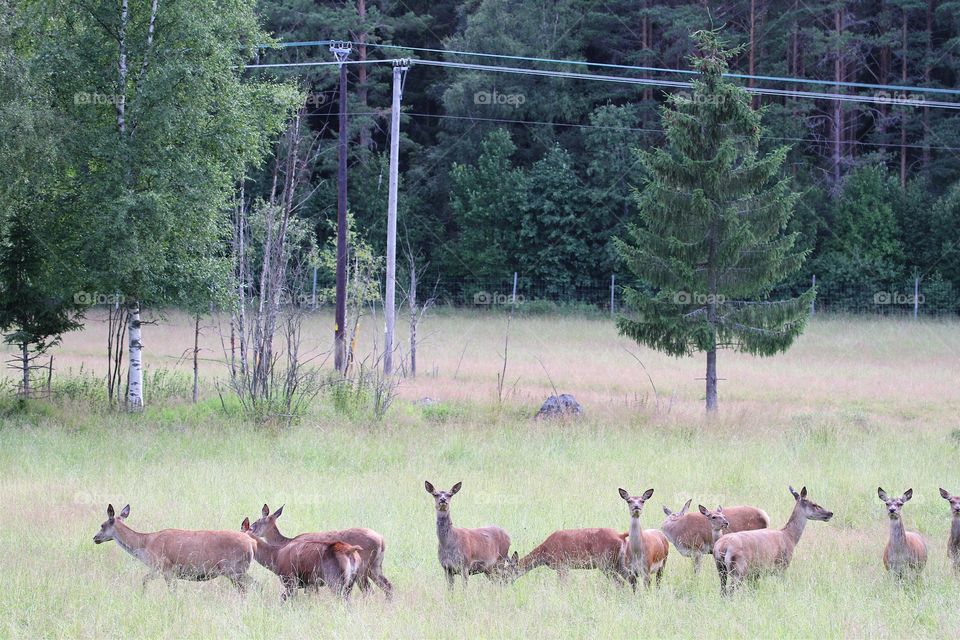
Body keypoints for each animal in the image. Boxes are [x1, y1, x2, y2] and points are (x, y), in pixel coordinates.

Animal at [90, 502, 253, 592]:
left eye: (102, 525)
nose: (95, 538)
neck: (145, 546)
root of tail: (251, 544)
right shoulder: (165, 570)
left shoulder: (164, 566)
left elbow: (152, 583)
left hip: (233, 569)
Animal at [251, 502, 398, 596]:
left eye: (256, 522)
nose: (251, 529)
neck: (285, 542)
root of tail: (381, 540)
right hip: (375, 566)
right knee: (388, 587)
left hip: (362, 568)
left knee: (369, 591)